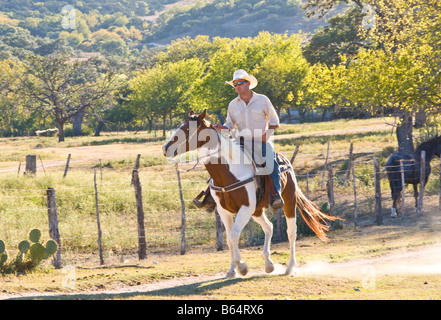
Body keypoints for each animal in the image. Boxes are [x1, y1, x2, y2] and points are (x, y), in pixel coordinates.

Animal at [162, 110, 336, 278]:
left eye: (187, 129)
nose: (165, 148)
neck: (229, 172)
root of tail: (285, 161)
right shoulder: (225, 211)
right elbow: (229, 238)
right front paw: (232, 270)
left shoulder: (245, 208)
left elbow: (234, 235)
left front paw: (242, 267)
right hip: (256, 210)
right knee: (269, 227)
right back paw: (268, 264)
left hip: (288, 202)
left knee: (291, 232)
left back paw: (290, 268)